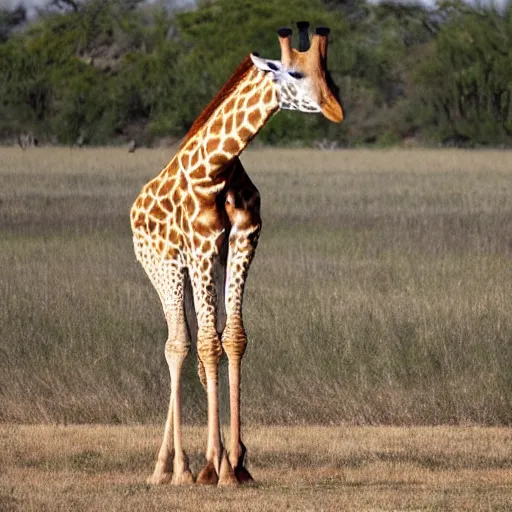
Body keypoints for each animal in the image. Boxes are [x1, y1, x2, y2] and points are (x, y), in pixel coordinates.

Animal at [130, 22, 342, 486]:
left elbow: (233, 339)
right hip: (163, 267)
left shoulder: (244, 240)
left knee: (190, 343)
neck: (217, 169)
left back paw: (176, 466)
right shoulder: (201, 246)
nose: (336, 110)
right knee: (178, 344)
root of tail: (136, 207)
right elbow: (209, 344)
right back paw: (174, 469)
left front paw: (237, 462)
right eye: (295, 74)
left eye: (330, 75)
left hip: (199, 268)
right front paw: (214, 466)